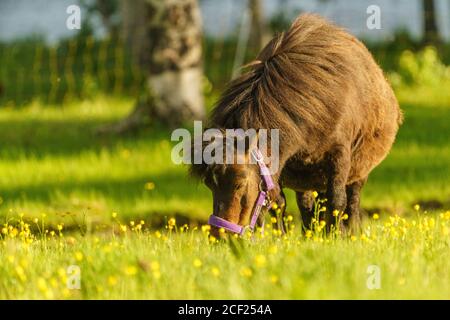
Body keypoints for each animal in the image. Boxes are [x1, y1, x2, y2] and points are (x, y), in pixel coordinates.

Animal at [192, 14, 402, 235]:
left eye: (239, 183)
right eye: (209, 185)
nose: (221, 237)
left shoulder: (340, 157)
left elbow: (337, 201)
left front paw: (336, 236)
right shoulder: (280, 166)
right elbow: (277, 202)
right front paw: (282, 237)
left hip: (358, 171)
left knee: (351, 202)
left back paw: (350, 232)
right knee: (308, 204)